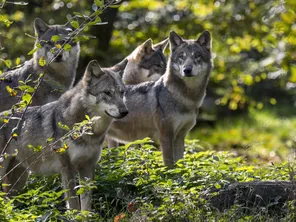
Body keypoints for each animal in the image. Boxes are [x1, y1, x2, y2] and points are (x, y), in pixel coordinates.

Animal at [0, 60, 128, 210]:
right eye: (107, 92)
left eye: (122, 92)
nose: (125, 111)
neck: (89, 132)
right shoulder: (67, 169)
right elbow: (73, 204)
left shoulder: (87, 167)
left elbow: (86, 205)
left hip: (19, 180)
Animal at [107, 30, 212, 166]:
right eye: (181, 57)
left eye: (197, 56)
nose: (187, 70)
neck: (187, 99)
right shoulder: (165, 136)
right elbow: (170, 166)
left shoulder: (179, 137)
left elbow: (180, 164)